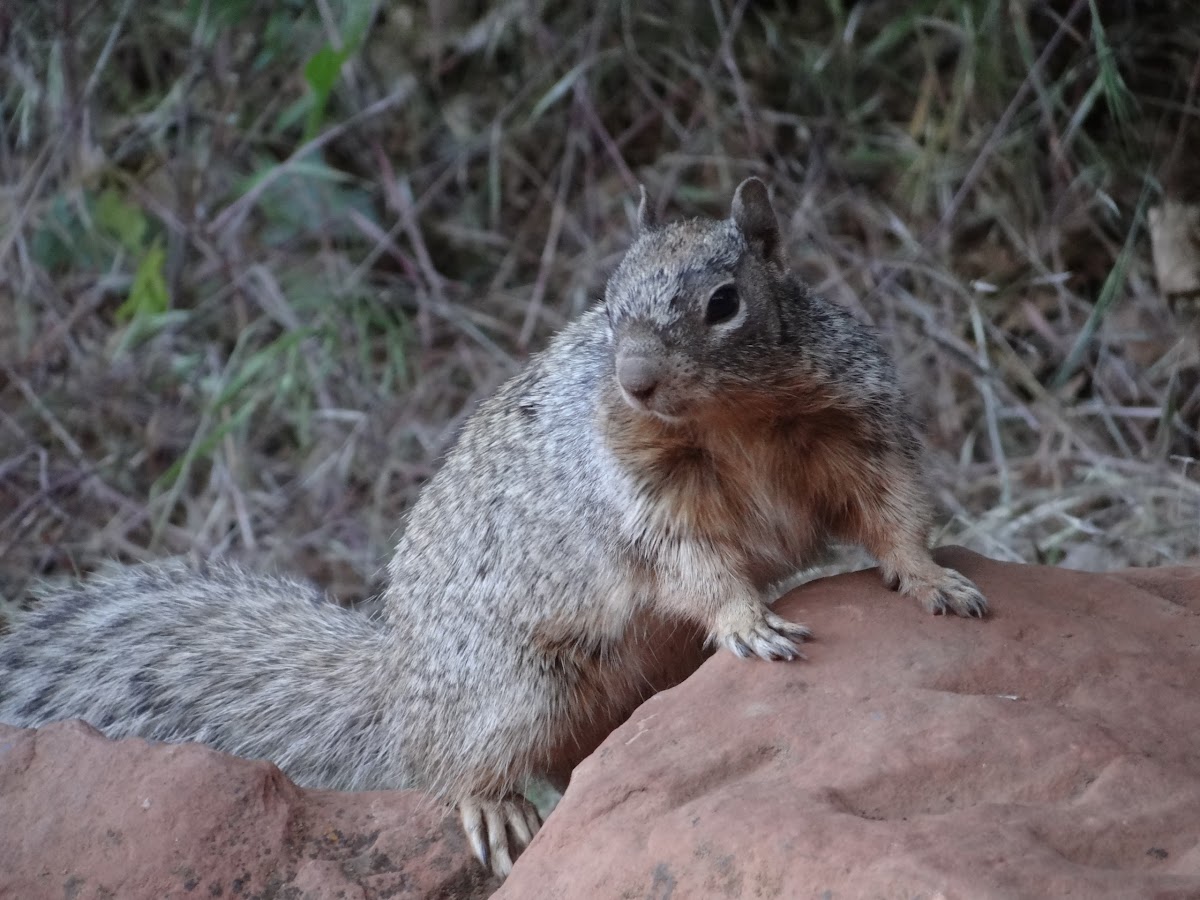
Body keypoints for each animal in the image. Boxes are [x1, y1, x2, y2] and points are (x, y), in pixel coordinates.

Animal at [0, 180, 984, 878]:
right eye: (609, 300)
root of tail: (399, 687)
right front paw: (747, 622)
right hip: (510, 689)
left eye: (724, 302)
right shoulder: (642, 496)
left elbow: (892, 509)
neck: (734, 419)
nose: (632, 380)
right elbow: (692, 564)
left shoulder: (856, 427)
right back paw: (493, 805)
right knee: (452, 770)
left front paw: (933, 577)